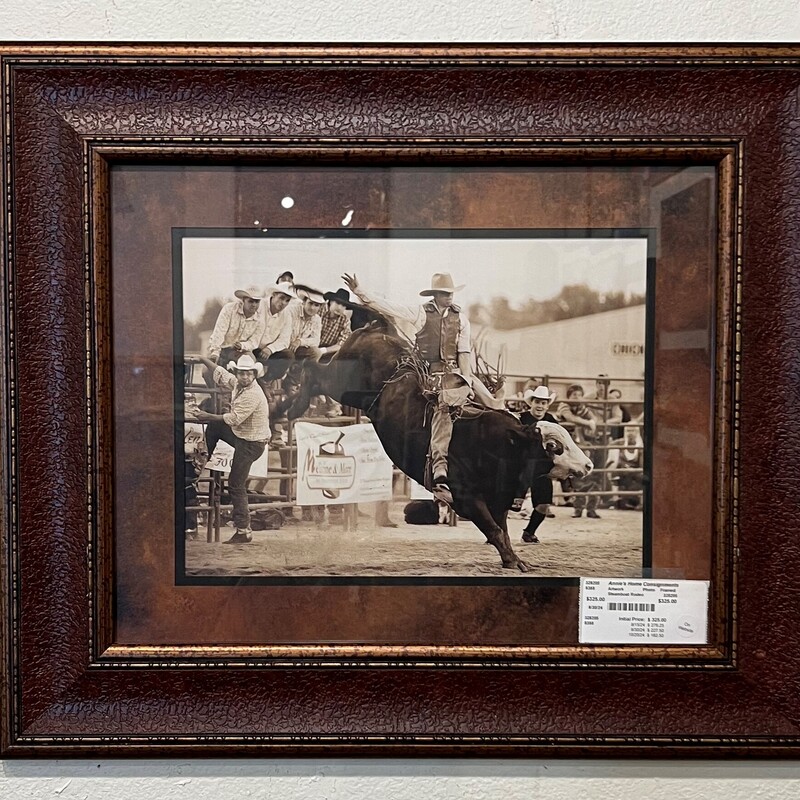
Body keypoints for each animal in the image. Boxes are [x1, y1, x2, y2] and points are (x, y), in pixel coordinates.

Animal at [288, 316, 592, 572]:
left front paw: (512, 559)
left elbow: (502, 530)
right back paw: (292, 404)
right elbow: (494, 530)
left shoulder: (499, 499)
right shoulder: (467, 498)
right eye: (554, 446)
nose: (588, 465)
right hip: (343, 382)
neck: (499, 445)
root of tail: (379, 327)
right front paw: (514, 561)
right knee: (315, 372)